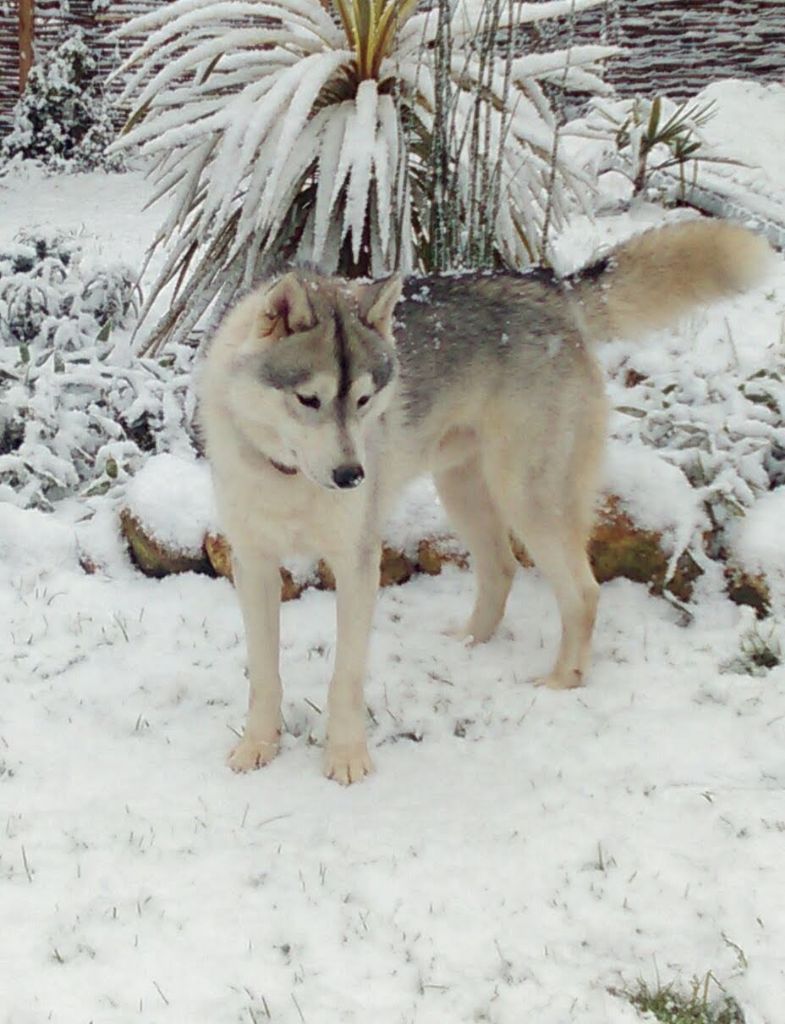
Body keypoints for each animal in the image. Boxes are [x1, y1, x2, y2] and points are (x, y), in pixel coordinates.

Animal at [199, 222, 769, 782]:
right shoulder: (253, 564)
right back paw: (470, 641)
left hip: (526, 498)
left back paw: (562, 681)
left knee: (582, 592)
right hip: (462, 488)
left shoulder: (357, 564)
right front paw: (258, 746)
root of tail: (550, 286)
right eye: (308, 399)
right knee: (502, 567)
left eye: (363, 400)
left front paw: (346, 758)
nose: (352, 476)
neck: (287, 477)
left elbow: (346, 676)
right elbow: (264, 674)